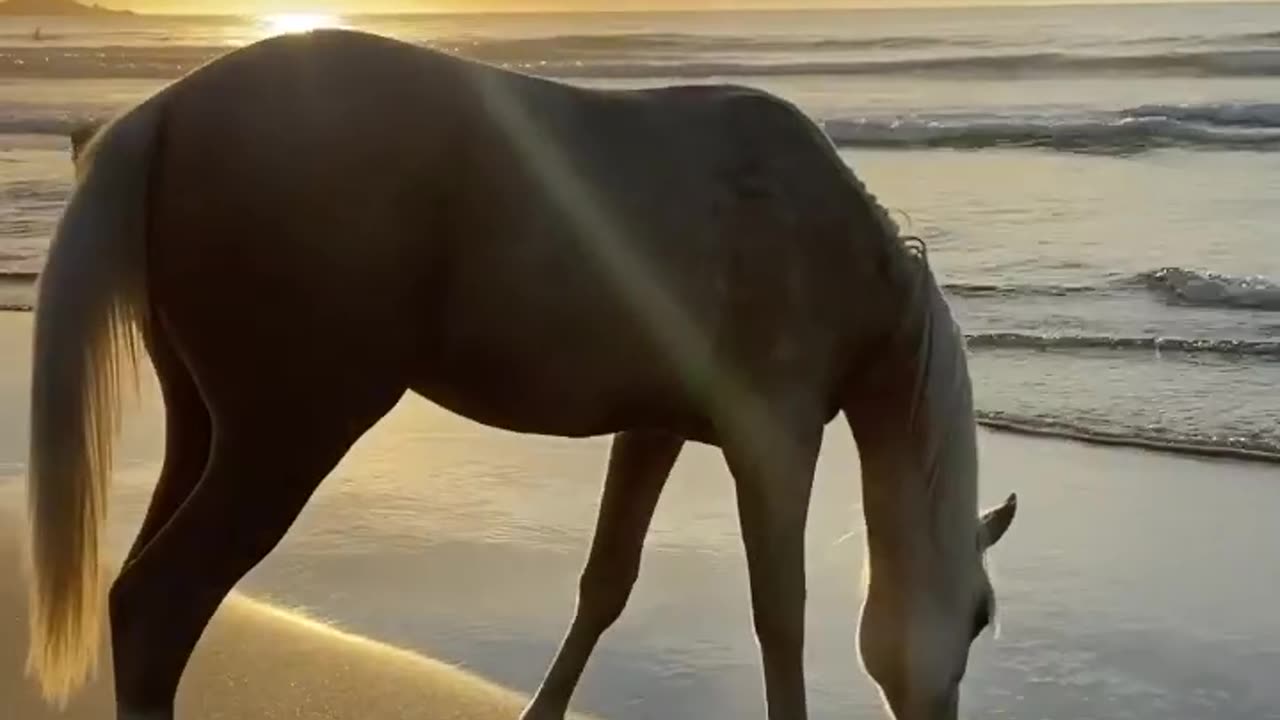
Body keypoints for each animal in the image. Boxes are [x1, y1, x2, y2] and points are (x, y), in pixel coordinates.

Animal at [24, 26, 1013, 717]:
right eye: (980, 615)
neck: (831, 247)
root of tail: (167, 112)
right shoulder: (775, 439)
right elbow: (781, 613)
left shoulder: (653, 429)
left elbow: (606, 583)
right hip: (287, 438)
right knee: (160, 608)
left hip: (203, 427)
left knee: (134, 596)